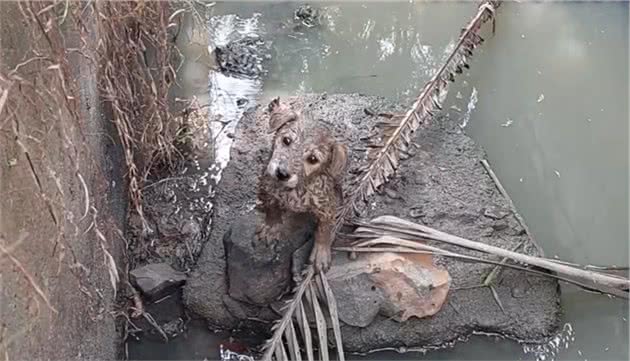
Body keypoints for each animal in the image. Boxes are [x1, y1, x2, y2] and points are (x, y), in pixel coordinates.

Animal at [256, 97, 350, 272]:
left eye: (313, 159)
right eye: (286, 140)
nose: (282, 173)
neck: (296, 189)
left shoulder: (326, 207)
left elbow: (324, 230)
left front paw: (321, 253)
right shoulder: (267, 186)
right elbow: (272, 209)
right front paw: (271, 227)